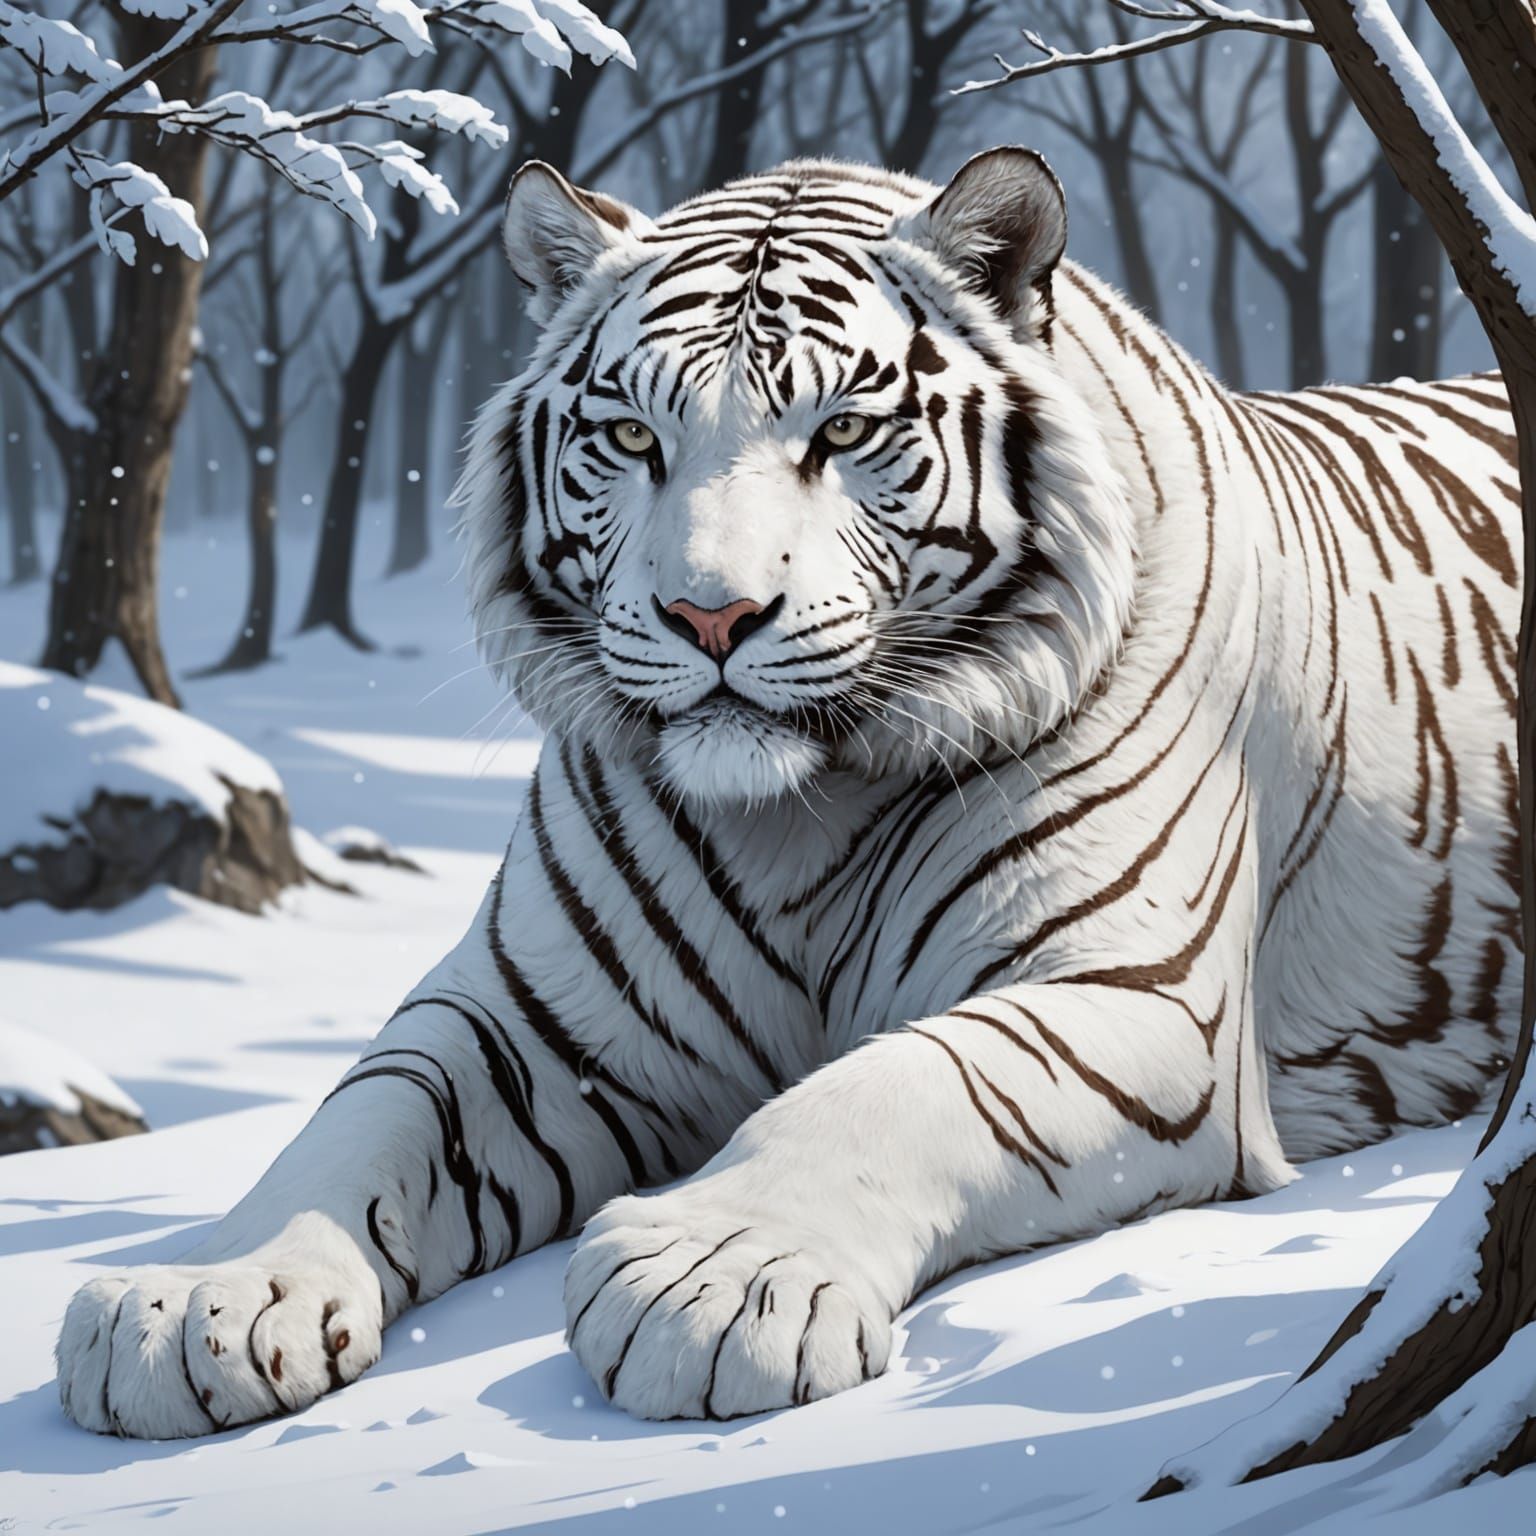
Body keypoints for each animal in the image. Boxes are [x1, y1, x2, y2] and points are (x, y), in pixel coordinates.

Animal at [55, 149, 1522, 1439]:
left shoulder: (1132, 992)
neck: (797, 817)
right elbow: (360, 1121)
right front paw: (194, 1302)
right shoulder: (534, 1023)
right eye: (630, 433)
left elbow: (913, 1079)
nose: (711, 615)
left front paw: (722, 1276)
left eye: (847, 431)